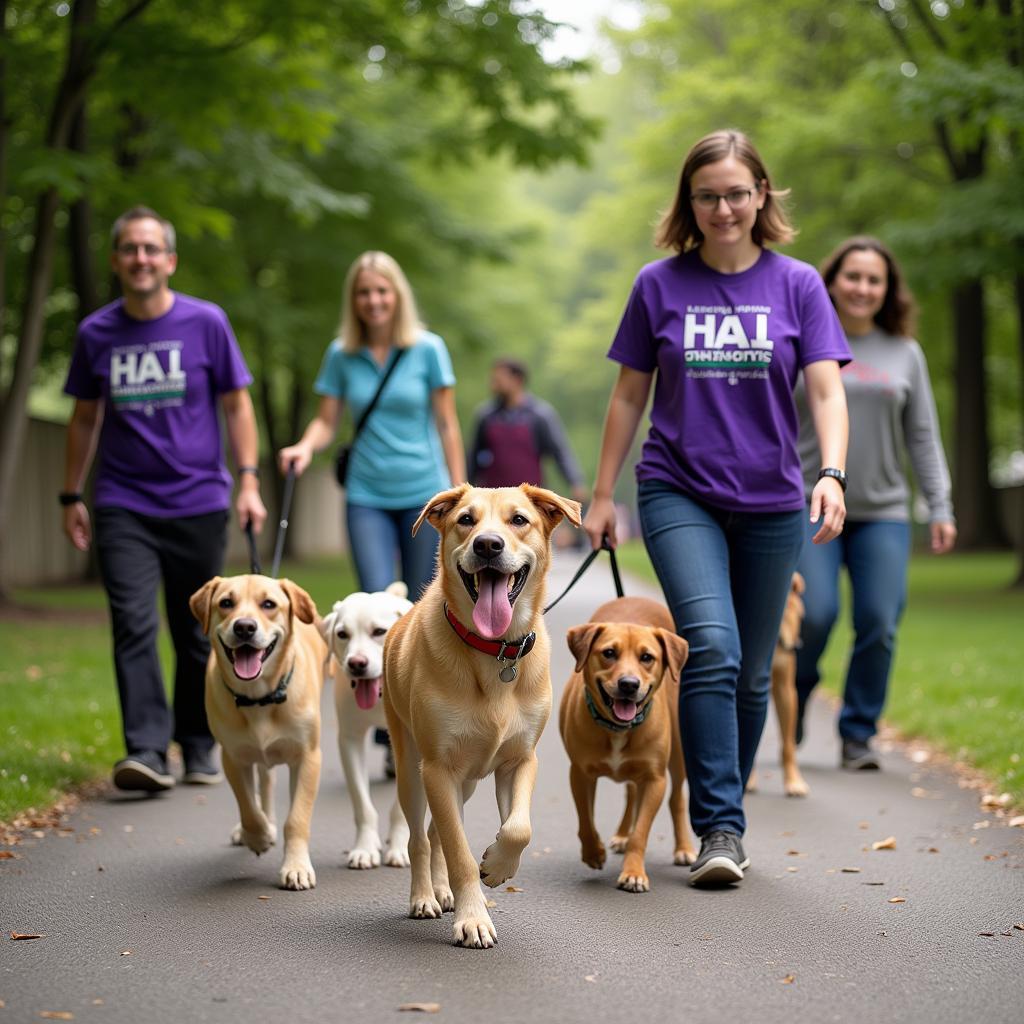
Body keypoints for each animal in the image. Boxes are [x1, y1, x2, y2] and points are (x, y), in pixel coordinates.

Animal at [188, 577, 323, 888]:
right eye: (226, 603)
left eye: (269, 604)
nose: (245, 627)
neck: (259, 698)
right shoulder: (233, 758)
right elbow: (249, 807)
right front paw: (259, 836)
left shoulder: (309, 758)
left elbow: (296, 818)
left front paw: (296, 866)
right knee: (265, 785)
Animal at [321, 581, 413, 868]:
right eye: (342, 634)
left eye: (379, 632)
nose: (356, 664)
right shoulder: (350, 740)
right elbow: (363, 805)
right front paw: (364, 848)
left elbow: (400, 808)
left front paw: (400, 847)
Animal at [382, 483, 581, 946]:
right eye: (466, 520)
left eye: (519, 520)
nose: (488, 545)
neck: (496, 651)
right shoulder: (438, 768)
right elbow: (459, 853)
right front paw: (473, 917)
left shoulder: (519, 761)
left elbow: (519, 829)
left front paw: (497, 865)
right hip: (412, 769)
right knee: (421, 837)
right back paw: (424, 896)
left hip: (468, 781)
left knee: (436, 832)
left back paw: (441, 891)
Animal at [561, 598, 696, 892]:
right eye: (609, 653)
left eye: (647, 657)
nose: (629, 684)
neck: (618, 729)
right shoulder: (579, 773)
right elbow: (585, 820)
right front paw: (594, 852)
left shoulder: (655, 779)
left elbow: (641, 833)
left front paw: (633, 872)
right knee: (632, 792)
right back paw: (622, 834)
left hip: (679, 755)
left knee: (676, 799)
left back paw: (684, 848)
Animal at [745, 573, 806, 794]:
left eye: (796, 615)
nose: (786, 642)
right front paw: (749, 779)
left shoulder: (785, 690)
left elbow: (788, 744)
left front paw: (794, 781)